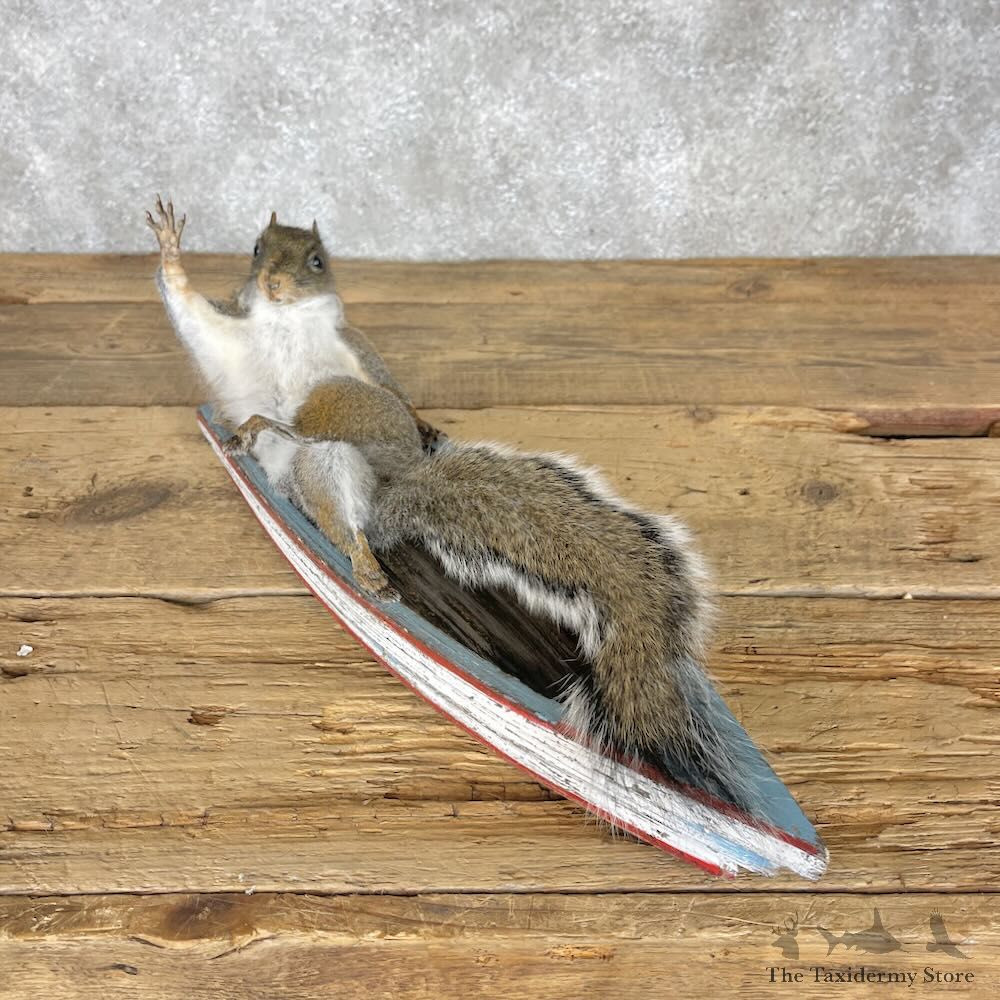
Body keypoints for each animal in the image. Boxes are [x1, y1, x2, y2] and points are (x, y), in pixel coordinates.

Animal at [148, 197, 753, 803]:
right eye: (255, 249)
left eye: (318, 260)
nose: (272, 284)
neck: (282, 320)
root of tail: (396, 484)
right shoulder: (231, 331)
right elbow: (190, 311)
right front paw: (171, 248)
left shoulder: (355, 349)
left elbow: (393, 386)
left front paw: (422, 419)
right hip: (314, 466)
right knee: (335, 509)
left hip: (342, 417)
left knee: (326, 434)